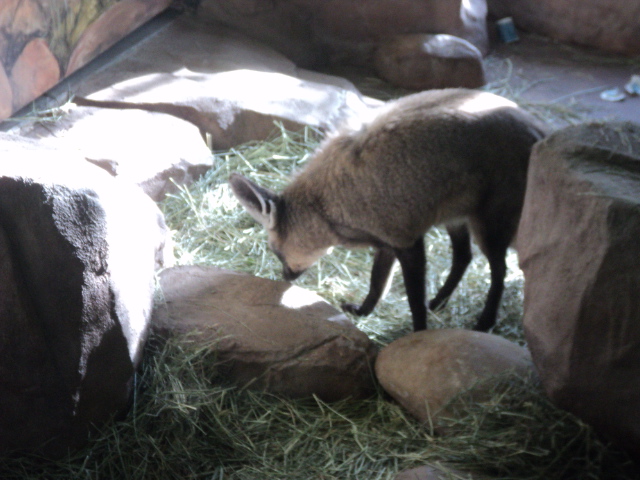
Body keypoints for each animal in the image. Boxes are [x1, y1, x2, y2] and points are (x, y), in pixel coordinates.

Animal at [228, 88, 548, 332]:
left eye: (276, 252)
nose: (285, 277)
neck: (328, 202)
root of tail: (540, 130)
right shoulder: (387, 242)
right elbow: (376, 284)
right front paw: (363, 312)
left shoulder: (406, 241)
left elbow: (413, 300)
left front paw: (418, 334)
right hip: (455, 216)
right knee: (463, 257)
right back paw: (440, 302)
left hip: (487, 226)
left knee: (499, 270)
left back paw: (485, 320)